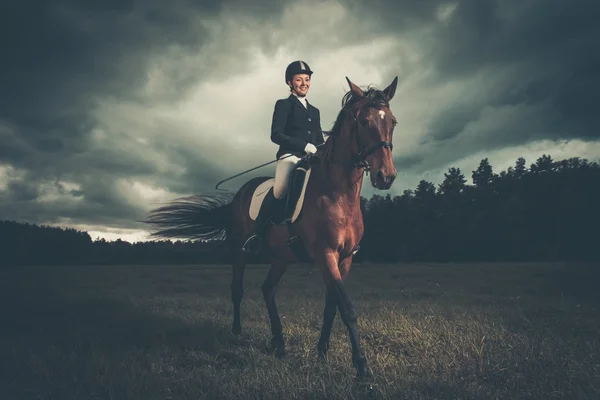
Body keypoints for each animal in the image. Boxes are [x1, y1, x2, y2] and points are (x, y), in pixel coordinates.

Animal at [145, 76, 398, 378]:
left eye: (393, 122)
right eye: (363, 122)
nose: (386, 177)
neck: (338, 194)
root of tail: (240, 193)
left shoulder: (345, 258)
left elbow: (331, 307)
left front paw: (322, 353)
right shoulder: (324, 254)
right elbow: (346, 308)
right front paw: (361, 367)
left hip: (281, 257)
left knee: (267, 290)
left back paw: (278, 341)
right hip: (240, 251)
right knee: (237, 288)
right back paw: (237, 331)